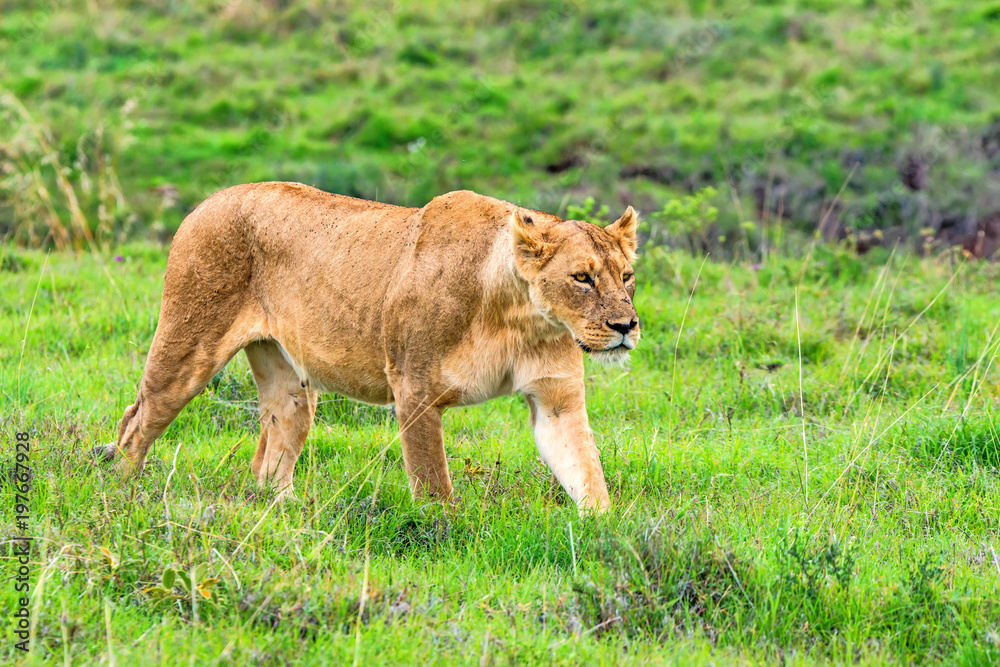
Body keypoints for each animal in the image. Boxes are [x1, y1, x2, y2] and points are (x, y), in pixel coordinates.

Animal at [100, 182, 640, 512]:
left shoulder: (556, 401)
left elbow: (588, 474)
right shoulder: (414, 387)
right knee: (136, 423)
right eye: (582, 278)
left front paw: (608, 534)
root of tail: (208, 200)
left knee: (269, 457)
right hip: (188, 346)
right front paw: (442, 533)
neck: (518, 317)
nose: (625, 326)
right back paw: (122, 497)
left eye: (627, 275)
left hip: (292, 388)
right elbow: (433, 484)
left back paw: (291, 512)